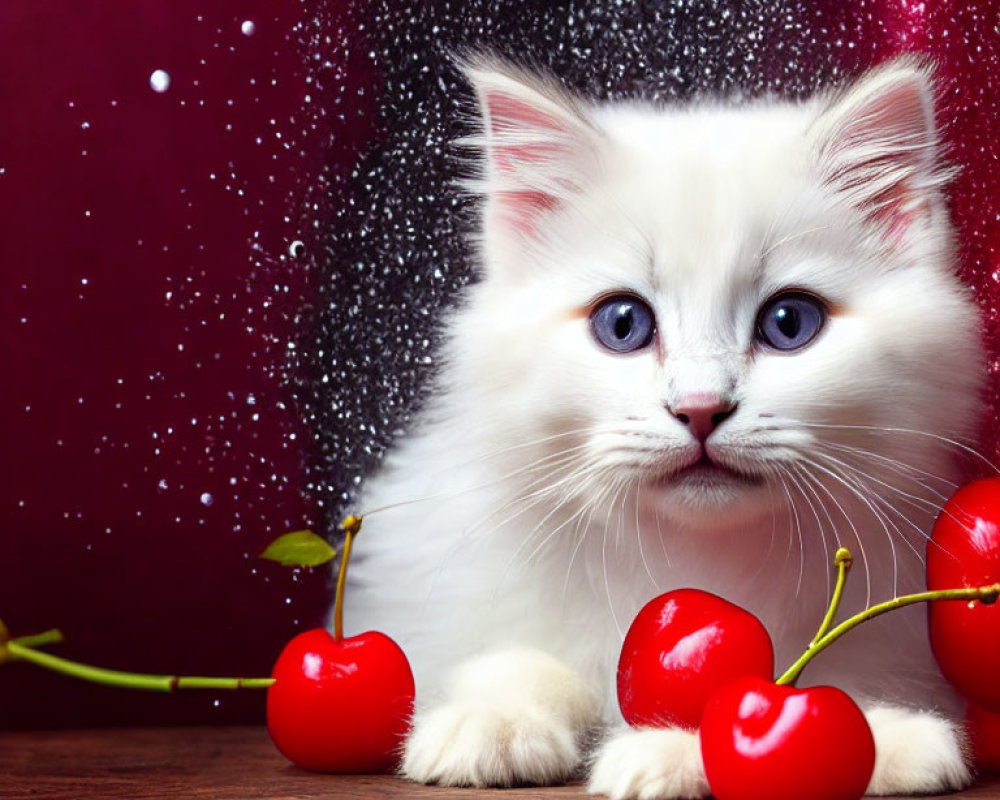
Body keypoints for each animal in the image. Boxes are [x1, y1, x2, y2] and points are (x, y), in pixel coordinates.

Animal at [344, 57, 984, 800]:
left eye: (789, 323)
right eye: (623, 325)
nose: (701, 408)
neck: (697, 564)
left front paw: (882, 739)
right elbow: (520, 661)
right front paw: (491, 722)